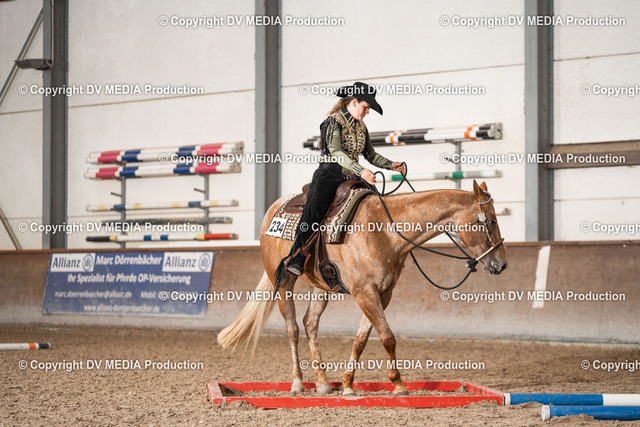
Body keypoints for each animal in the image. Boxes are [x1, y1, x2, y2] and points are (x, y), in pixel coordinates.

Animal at [218, 179, 507, 396]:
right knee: (292, 329)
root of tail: (274, 208)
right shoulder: (364, 292)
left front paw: (347, 384)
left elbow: (362, 338)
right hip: (284, 281)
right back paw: (298, 383)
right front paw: (398, 384)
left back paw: (323, 382)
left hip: (322, 287)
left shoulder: (382, 293)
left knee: (310, 323)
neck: (385, 230)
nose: (501, 264)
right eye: (491, 221)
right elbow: (387, 336)